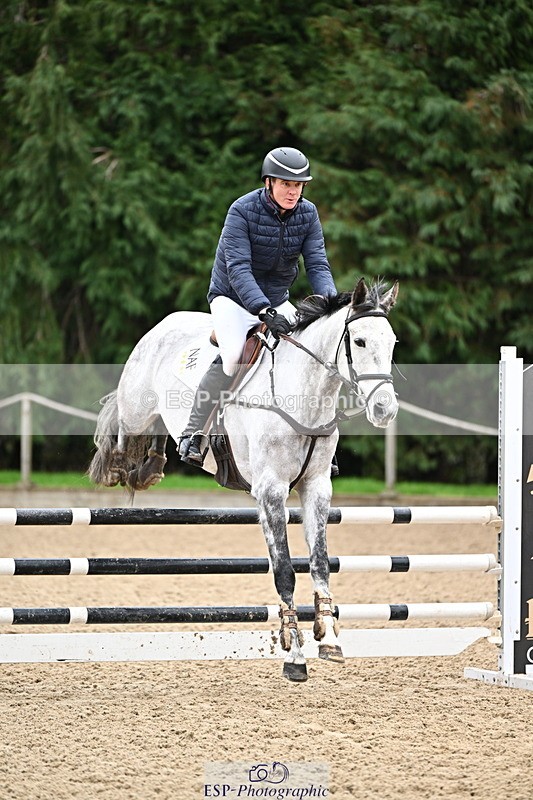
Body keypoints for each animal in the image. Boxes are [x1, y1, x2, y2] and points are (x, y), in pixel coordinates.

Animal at [88, 277, 399, 681]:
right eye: (359, 342)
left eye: (392, 342)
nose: (385, 409)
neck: (304, 394)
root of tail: (165, 323)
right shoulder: (270, 490)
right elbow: (284, 572)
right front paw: (294, 655)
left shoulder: (316, 488)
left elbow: (319, 563)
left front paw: (328, 638)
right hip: (137, 407)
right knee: (125, 430)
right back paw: (120, 467)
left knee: (154, 434)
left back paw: (153, 466)